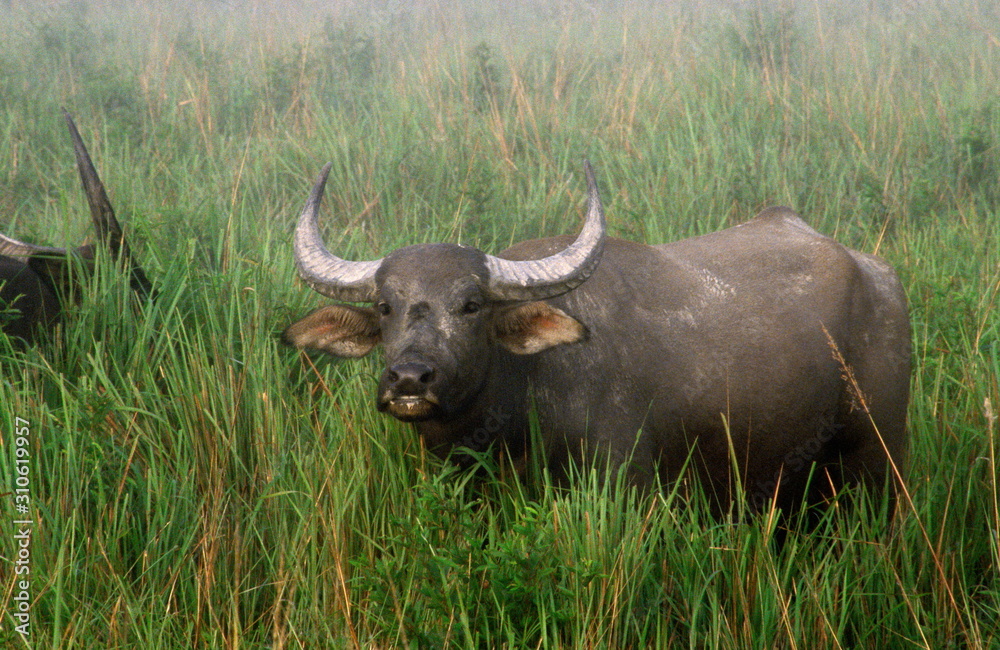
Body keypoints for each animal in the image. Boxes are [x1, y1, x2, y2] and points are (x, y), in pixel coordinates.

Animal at [286, 162, 912, 512]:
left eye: (470, 305)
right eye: (385, 306)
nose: (409, 378)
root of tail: (877, 274)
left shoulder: (627, 481)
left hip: (878, 457)